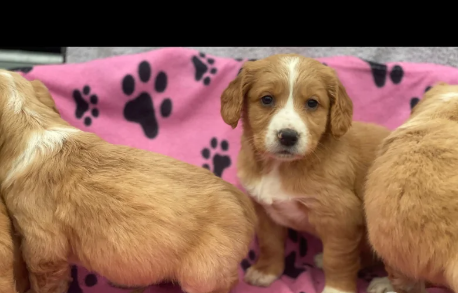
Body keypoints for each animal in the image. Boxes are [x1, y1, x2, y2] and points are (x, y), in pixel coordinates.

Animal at [221, 54, 390, 292]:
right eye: (267, 99)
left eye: (312, 103)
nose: (288, 136)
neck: (281, 166)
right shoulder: (264, 212)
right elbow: (270, 243)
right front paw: (266, 271)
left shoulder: (341, 219)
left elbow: (338, 259)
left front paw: (336, 289)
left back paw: (385, 283)